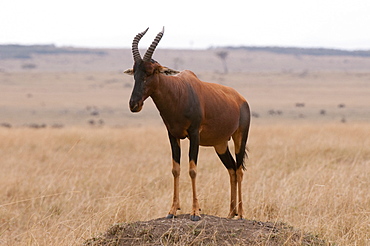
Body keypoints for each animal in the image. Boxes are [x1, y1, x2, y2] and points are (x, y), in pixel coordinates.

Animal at [124, 27, 251, 221]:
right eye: (135, 73)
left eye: (151, 71)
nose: (134, 105)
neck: (179, 92)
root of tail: (241, 99)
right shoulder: (172, 135)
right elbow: (175, 169)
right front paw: (172, 210)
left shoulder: (194, 135)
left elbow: (192, 170)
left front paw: (195, 213)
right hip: (220, 144)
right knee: (231, 170)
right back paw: (230, 213)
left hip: (239, 137)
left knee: (239, 170)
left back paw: (241, 214)